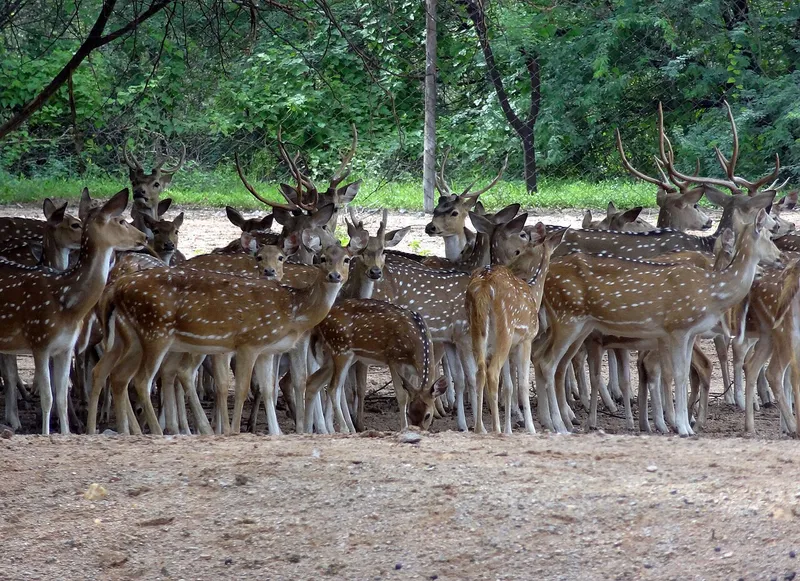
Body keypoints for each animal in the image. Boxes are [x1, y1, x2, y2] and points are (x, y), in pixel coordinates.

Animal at [0, 189, 146, 434]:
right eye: (121, 220)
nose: (144, 237)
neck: (67, 303)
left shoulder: (66, 347)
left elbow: (61, 396)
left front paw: (67, 432)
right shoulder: (39, 341)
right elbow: (48, 397)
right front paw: (46, 432)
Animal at [467, 222, 567, 434]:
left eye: (519, 250)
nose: (510, 265)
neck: (534, 294)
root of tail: (485, 285)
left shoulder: (511, 347)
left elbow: (509, 386)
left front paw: (509, 429)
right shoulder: (526, 338)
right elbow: (522, 385)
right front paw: (530, 428)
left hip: (476, 329)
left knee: (479, 371)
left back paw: (481, 428)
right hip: (505, 328)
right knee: (492, 373)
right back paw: (495, 428)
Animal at [535, 208, 782, 436]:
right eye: (770, 236)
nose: (780, 258)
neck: (711, 292)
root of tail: (547, 278)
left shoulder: (688, 333)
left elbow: (680, 373)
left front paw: (684, 425)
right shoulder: (678, 327)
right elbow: (679, 374)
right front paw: (683, 427)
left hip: (579, 326)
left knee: (547, 360)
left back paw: (555, 422)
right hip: (567, 318)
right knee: (548, 363)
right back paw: (560, 425)